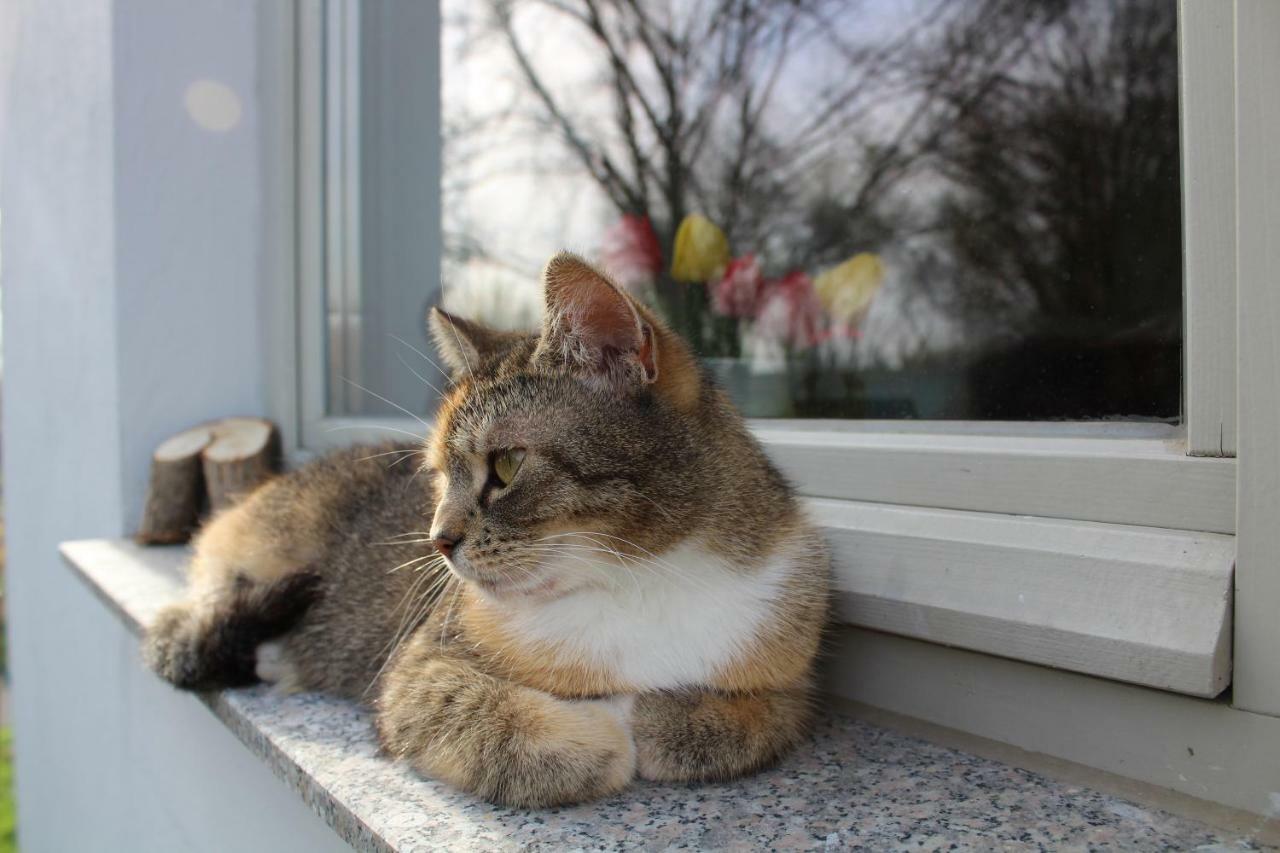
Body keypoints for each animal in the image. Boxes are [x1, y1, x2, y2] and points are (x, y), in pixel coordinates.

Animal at [145, 251, 829, 804]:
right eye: (437, 476)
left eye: (505, 466)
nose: (438, 541)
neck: (635, 580)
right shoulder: (415, 671)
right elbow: (483, 716)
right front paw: (601, 735)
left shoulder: (793, 675)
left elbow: (758, 718)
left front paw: (664, 718)